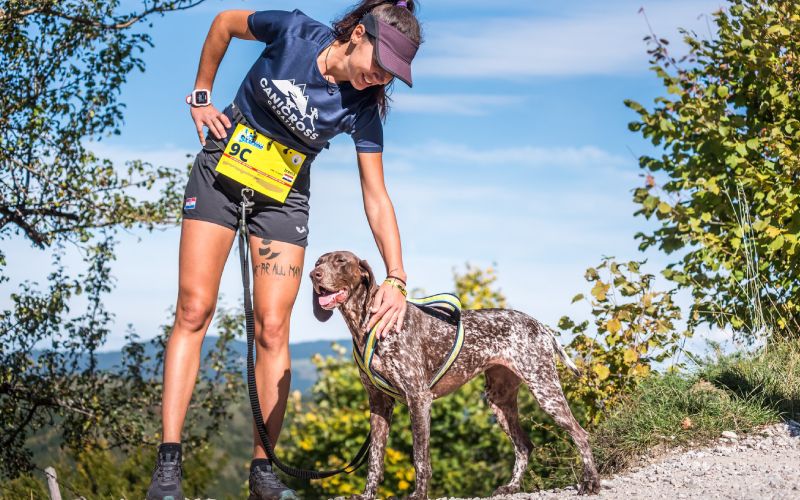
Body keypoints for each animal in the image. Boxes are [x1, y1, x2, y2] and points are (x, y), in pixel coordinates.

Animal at [310, 252, 596, 498]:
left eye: (341, 261)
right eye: (318, 262)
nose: (314, 275)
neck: (371, 324)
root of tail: (540, 326)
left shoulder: (418, 399)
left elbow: (420, 457)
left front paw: (419, 495)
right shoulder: (379, 404)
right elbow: (375, 460)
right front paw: (368, 494)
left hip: (545, 390)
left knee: (581, 434)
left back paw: (590, 483)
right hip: (500, 401)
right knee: (524, 445)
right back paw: (511, 487)